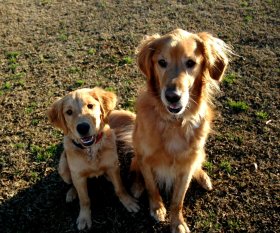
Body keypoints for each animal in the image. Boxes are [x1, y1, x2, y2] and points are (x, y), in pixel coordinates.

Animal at [49, 88, 140, 231]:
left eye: (90, 106)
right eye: (69, 112)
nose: (83, 128)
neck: (91, 149)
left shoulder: (112, 166)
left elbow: (120, 188)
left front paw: (128, 202)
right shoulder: (78, 176)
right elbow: (84, 199)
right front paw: (84, 218)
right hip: (63, 167)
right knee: (72, 183)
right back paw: (71, 193)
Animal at [131, 29, 232, 233]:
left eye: (190, 63)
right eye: (162, 62)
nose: (172, 97)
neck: (173, 123)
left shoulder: (186, 166)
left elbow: (178, 200)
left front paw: (177, 223)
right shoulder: (145, 158)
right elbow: (152, 187)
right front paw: (157, 208)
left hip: (199, 152)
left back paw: (203, 178)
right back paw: (137, 187)